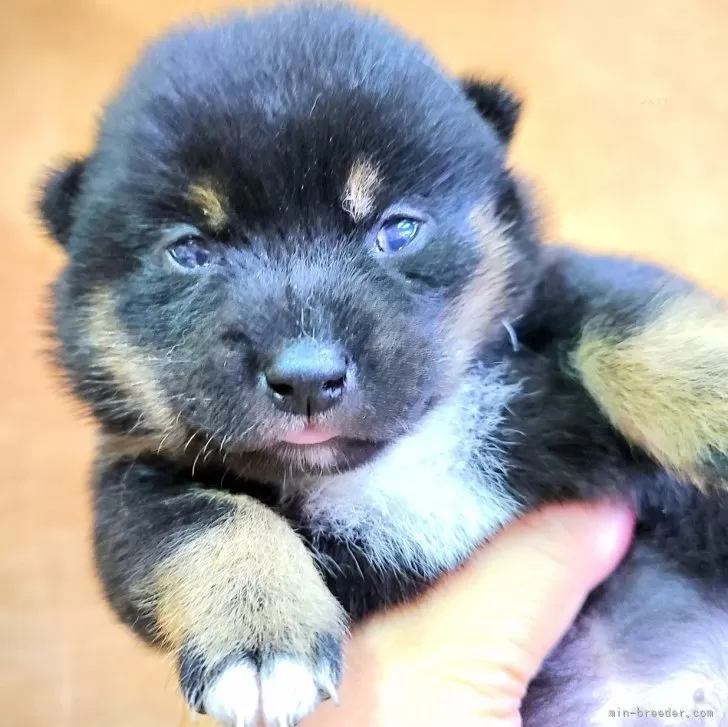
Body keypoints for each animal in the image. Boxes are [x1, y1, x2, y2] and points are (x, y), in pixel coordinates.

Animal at [38, 2, 728, 724]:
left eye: (398, 229)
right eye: (191, 250)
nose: (307, 378)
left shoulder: (551, 294)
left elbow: (631, 312)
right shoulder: (128, 479)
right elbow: (201, 520)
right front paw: (260, 636)